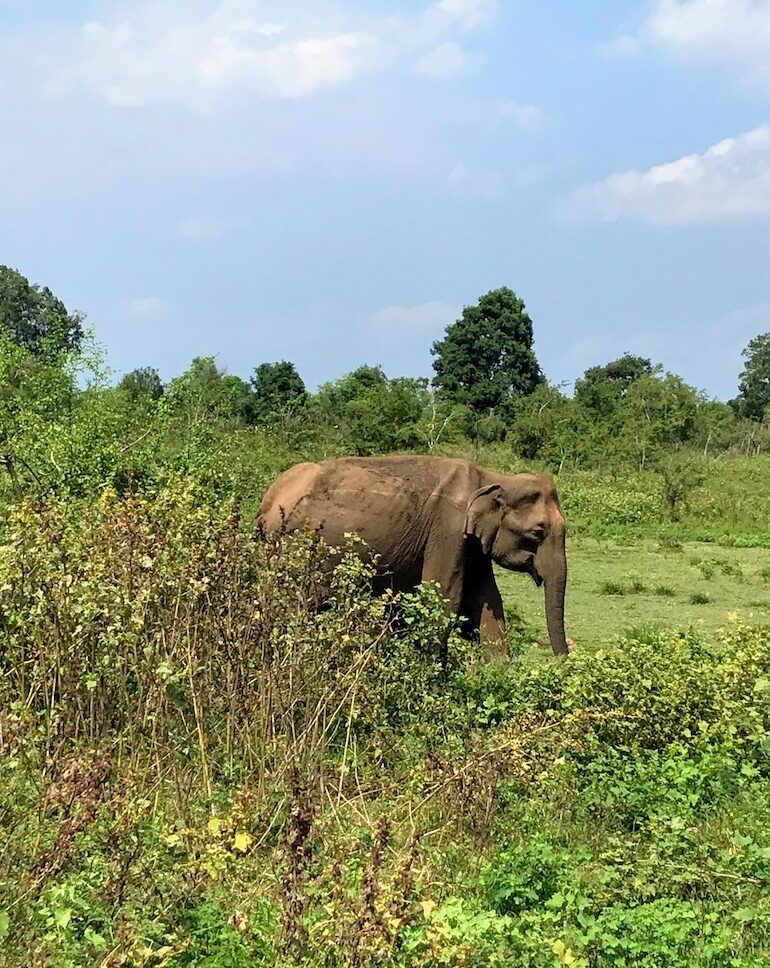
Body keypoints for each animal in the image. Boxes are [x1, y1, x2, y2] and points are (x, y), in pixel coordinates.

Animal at [256, 456, 564, 656]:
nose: (563, 661)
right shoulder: (448, 528)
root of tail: (268, 502)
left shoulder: (473, 543)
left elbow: (486, 600)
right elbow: (445, 597)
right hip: (295, 545)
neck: (493, 478)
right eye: (538, 532)